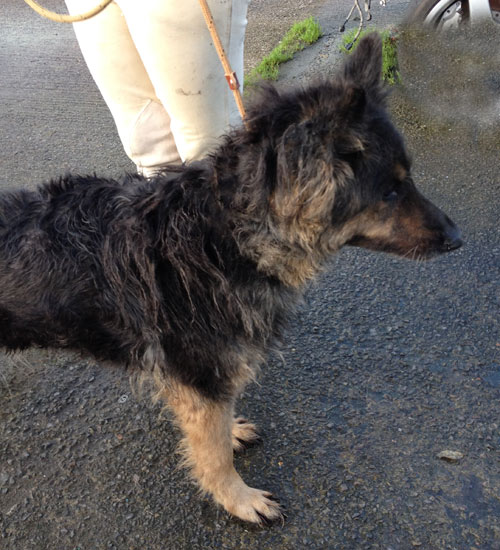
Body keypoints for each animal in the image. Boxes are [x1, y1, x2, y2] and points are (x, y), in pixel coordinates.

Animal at [0, 35, 460, 528]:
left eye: (408, 178)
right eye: (389, 192)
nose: (458, 238)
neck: (226, 236)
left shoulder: (204, 380)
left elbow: (218, 427)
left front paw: (233, 431)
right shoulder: (201, 377)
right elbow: (213, 453)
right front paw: (237, 498)